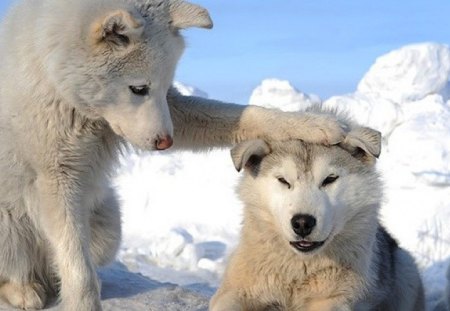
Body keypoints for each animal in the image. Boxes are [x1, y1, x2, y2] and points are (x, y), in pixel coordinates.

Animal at [0, 0, 342, 311]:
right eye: (139, 88)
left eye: (164, 89)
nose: (166, 142)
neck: (58, 83)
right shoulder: (56, 178)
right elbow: (76, 267)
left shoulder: (174, 111)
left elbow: (247, 115)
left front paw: (314, 124)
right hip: (12, 226)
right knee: (22, 269)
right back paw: (23, 290)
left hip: (108, 226)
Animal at [211, 125, 426, 310]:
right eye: (283, 181)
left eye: (330, 179)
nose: (302, 223)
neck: (298, 269)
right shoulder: (233, 292)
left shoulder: (334, 299)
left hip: (406, 270)